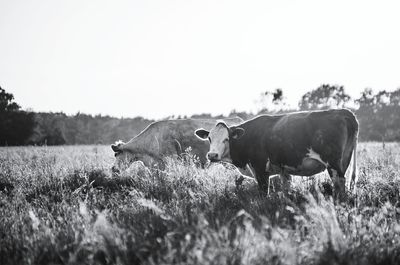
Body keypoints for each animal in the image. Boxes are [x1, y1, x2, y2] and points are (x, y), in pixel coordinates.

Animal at [195, 108, 360, 199]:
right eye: (209, 138)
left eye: (226, 139)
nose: (212, 155)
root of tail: (344, 112)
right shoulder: (283, 170)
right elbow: (287, 188)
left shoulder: (260, 169)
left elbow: (264, 192)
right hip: (344, 160)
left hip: (333, 164)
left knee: (339, 183)